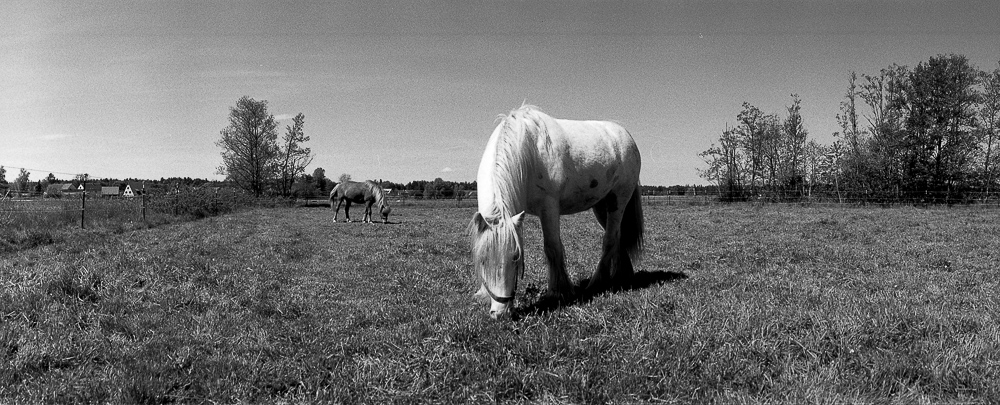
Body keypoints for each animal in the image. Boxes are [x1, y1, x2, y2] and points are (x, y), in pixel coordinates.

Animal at [466, 105, 640, 318]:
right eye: (483, 261)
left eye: (516, 259)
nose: (500, 313)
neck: (527, 149)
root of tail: (625, 135)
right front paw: (483, 294)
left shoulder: (548, 207)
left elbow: (552, 247)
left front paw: (558, 291)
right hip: (601, 206)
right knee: (617, 236)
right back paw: (623, 275)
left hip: (618, 201)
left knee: (609, 239)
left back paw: (597, 282)